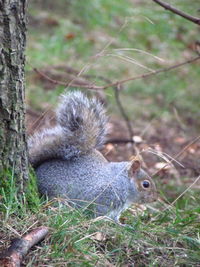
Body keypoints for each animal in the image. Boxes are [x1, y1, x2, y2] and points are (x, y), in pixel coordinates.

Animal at [28, 91, 158, 223]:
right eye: (145, 184)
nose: (155, 199)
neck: (122, 183)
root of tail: (37, 170)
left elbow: (115, 217)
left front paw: (122, 224)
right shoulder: (104, 197)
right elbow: (98, 212)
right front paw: (107, 221)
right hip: (55, 192)